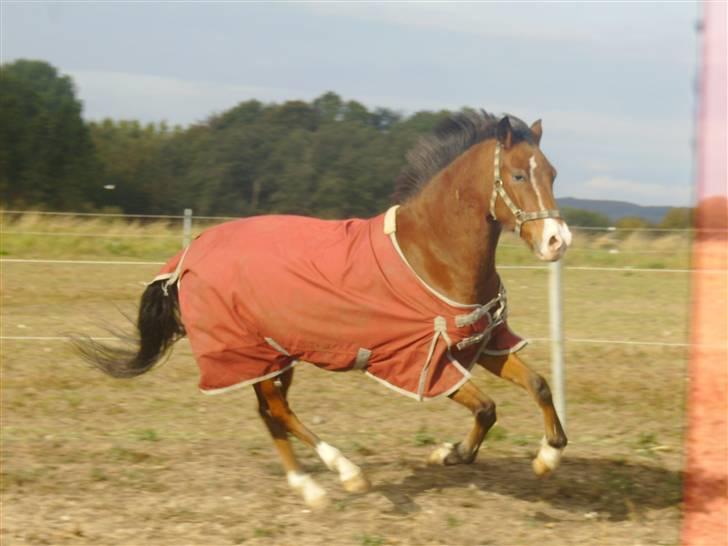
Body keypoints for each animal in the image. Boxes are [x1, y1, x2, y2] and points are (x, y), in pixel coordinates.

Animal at [75, 111, 571, 509]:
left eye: (552, 173)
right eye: (518, 176)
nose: (557, 241)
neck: (431, 254)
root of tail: (188, 256)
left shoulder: (481, 344)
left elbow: (539, 386)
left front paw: (547, 457)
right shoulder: (420, 363)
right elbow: (486, 408)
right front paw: (450, 454)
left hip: (274, 354)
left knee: (270, 412)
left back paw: (308, 488)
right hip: (251, 351)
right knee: (279, 410)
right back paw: (346, 473)